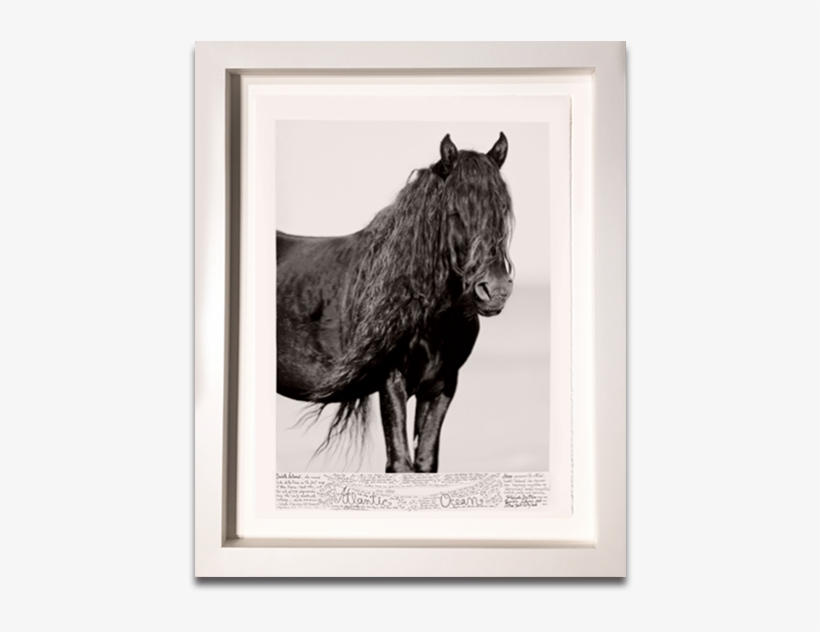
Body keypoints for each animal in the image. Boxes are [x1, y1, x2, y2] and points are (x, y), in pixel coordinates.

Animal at [276, 132, 514, 473]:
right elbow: (400, 462)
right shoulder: (391, 381)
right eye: (455, 211)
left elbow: (425, 460)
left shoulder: (441, 387)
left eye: (501, 210)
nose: (494, 290)